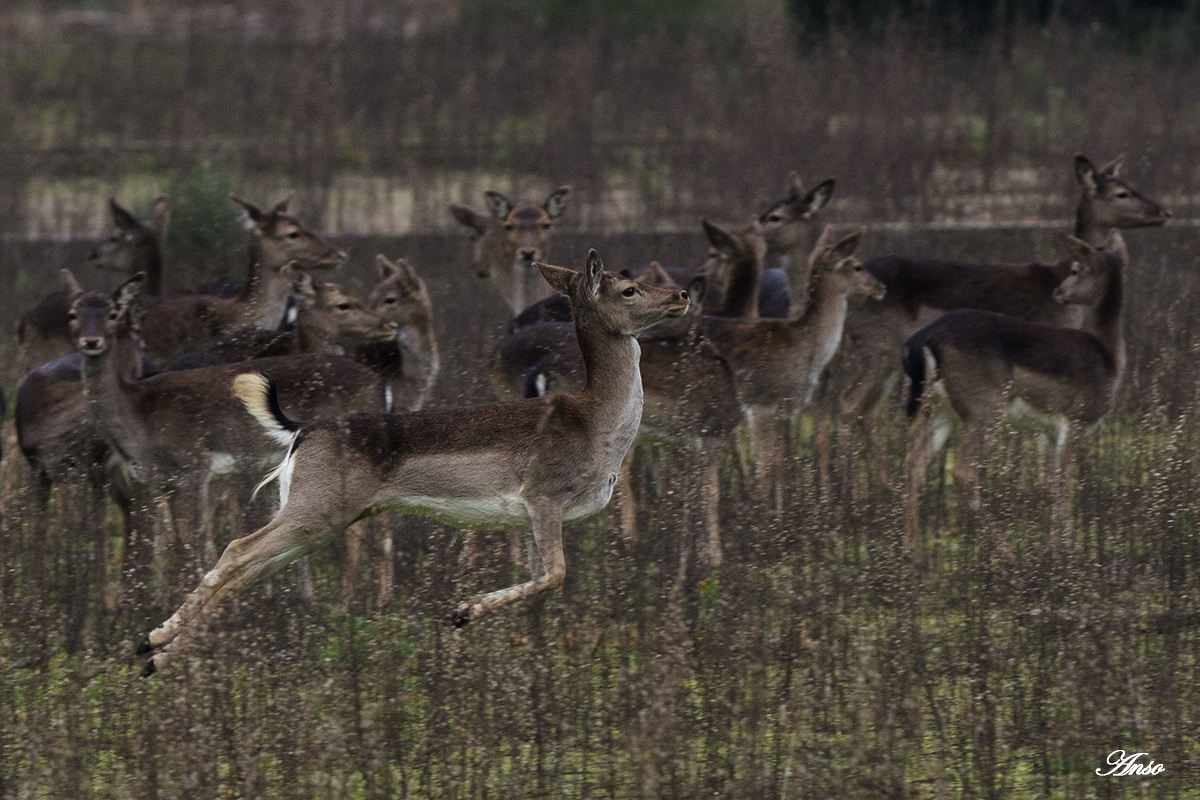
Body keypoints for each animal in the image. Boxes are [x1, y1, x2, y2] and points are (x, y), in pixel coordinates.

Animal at [137, 249, 690, 675]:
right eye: (629, 289)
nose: (682, 295)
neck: (596, 428)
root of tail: (299, 432)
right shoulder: (543, 494)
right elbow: (556, 573)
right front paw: (461, 611)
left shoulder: (530, 513)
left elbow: (540, 576)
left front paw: (471, 616)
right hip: (318, 506)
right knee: (238, 550)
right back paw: (154, 642)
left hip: (319, 514)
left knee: (252, 566)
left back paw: (154, 653)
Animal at [827, 154, 1169, 489]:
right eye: (1121, 193)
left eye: (1129, 184)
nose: (1163, 212)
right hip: (879, 348)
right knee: (850, 403)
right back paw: (847, 489)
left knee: (867, 410)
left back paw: (879, 485)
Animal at [902, 232, 1129, 547]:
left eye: (1075, 270)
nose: (1059, 291)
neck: (1109, 360)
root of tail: (923, 340)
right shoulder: (1077, 420)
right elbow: (1066, 489)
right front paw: (1068, 551)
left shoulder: (1051, 431)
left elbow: (1054, 487)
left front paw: (1056, 547)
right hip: (984, 407)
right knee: (963, 471)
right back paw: (1007, 551)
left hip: (939, 408)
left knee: (914, 463)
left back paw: (911, 551)